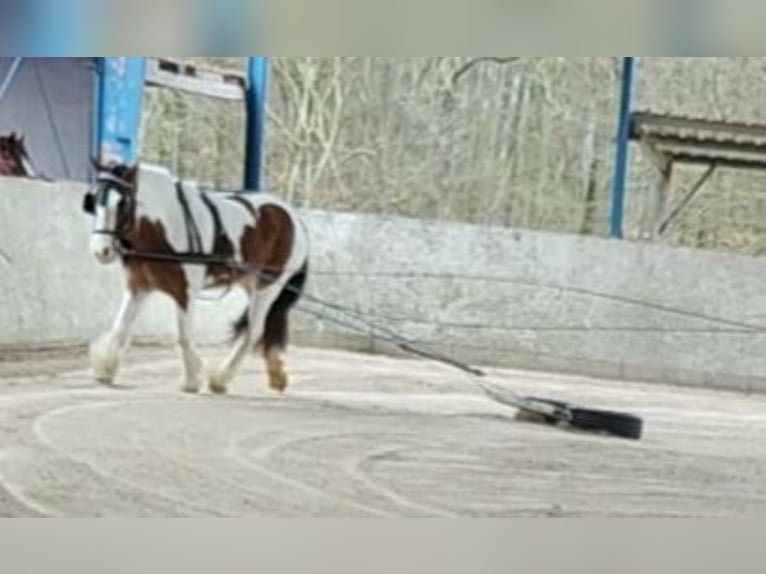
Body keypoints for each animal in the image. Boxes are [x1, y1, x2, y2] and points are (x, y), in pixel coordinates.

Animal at [82, 162, 310, 396]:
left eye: (122, 203)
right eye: (94, 200)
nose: (101, 250)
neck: (164, 226)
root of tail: (293, 216)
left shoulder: (185, 291)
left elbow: (183, 336)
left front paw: (191, 380)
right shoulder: (138, 287)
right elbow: (120, 327)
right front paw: (105, 370)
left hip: (269, 285)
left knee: (253, 330)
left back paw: (221, 379)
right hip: (251, 283)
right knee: (271, 321)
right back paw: (276, 374)